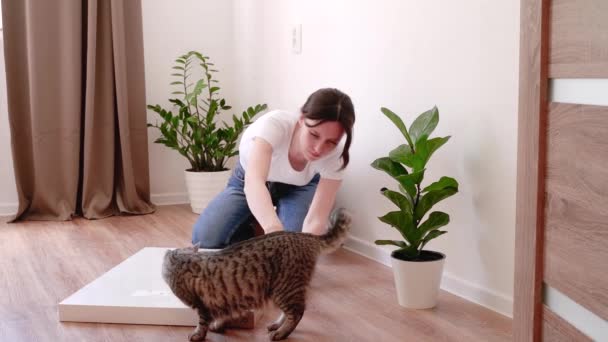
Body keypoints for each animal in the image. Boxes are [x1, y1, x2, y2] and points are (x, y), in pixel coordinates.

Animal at [162, 208, 352, 340]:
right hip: (283, 290)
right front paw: (218, 325)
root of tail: (305, 235)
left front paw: (198, 335)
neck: (183, 259)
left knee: (298, 312)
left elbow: (202, 323)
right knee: (290, 312)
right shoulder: (227, 299)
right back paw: (276, 326)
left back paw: (281, 333)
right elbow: (224, 315)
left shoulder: (201, 304)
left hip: (284, 288)